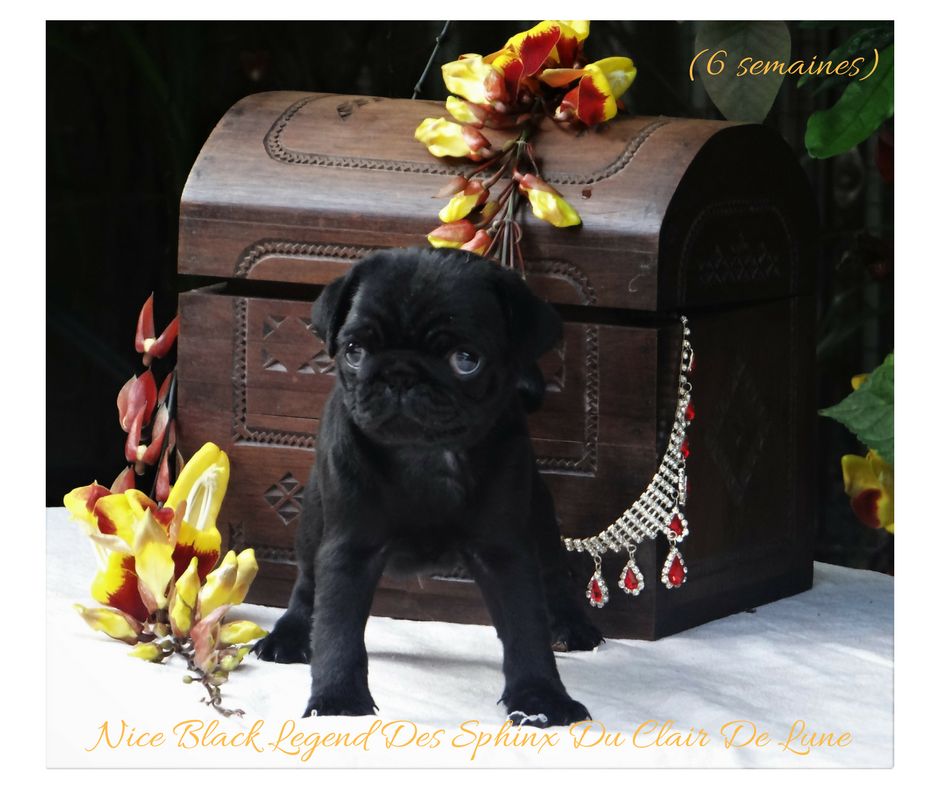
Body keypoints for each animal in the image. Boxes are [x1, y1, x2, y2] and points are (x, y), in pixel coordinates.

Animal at [254, 247, 602, 727]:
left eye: (466, 360)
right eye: (355, 352)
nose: (400, 375)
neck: (423, 457)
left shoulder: (504, 550)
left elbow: (525, 625)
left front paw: (541, 698)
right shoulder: (349, 546)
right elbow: (337, 629)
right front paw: (339, 702)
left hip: (539, 516)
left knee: (553, 574)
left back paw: (570, 624)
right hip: (313, 518)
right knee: (307, 584)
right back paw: (288, 634)